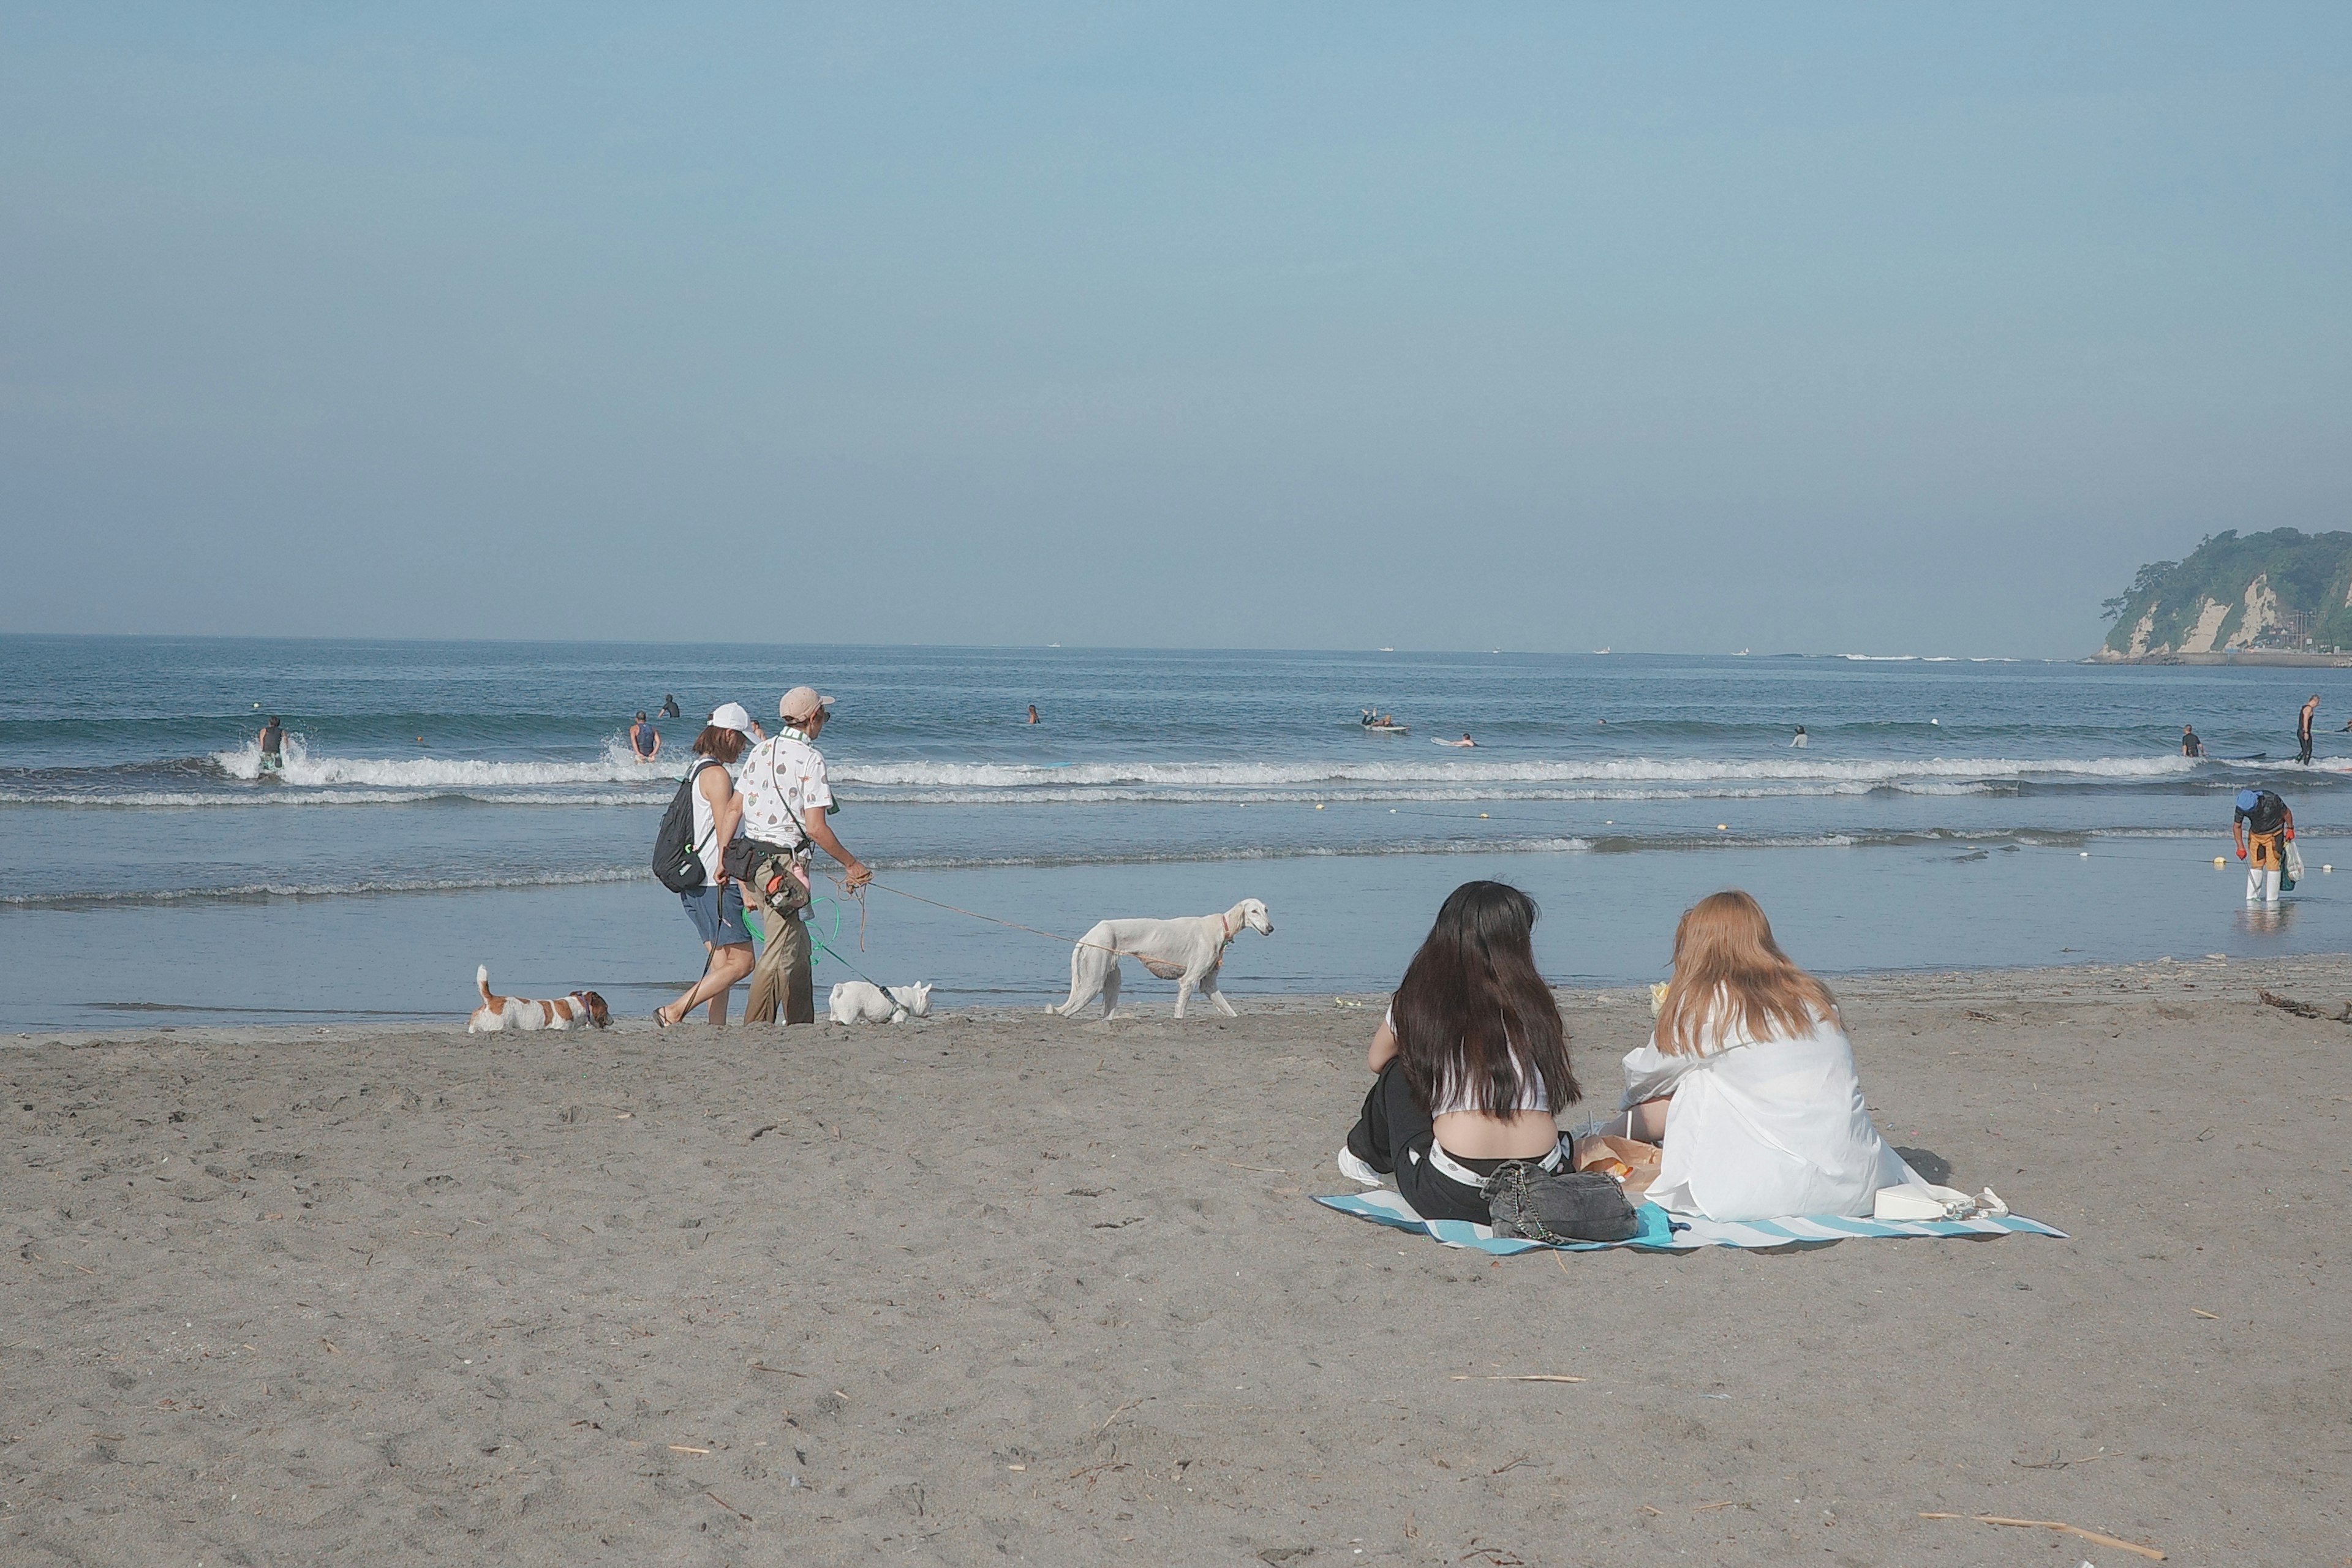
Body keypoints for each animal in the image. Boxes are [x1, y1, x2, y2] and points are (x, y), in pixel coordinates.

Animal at [827, 982, 936, 1030]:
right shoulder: (899, 1017)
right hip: (849, 1013)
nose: (931, 1014)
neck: (911, 997)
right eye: (930, 1006)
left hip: (834, 1013)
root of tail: (840, 988)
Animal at [1054, 902, 1270, 1025]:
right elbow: (1180, 1012)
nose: (1271, 928)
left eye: (1266, 910)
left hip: (1112, 981)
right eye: (1254, 911)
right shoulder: (1187, 981)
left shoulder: (1209, 985)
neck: (1222, 927)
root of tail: (1089, 935)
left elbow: (1230, 1011)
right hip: (1093, 983)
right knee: (1061, 1011)